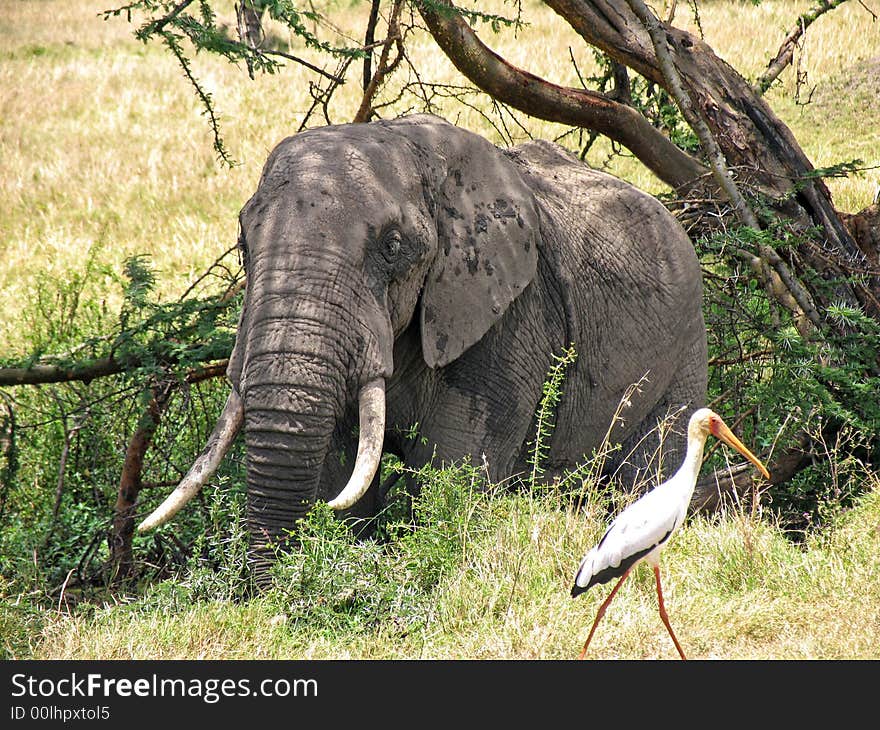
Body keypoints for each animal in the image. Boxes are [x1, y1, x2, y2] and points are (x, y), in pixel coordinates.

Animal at [141, 114, 712, 580]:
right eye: (243, 245)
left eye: (393, 247)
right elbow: (336, 470)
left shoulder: (510, 314)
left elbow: (449, 471)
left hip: (683, 344)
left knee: (652, 468)